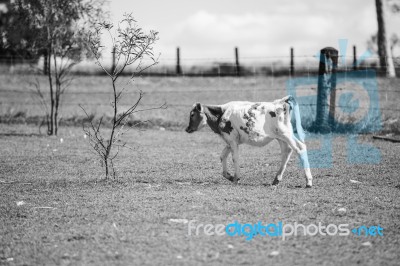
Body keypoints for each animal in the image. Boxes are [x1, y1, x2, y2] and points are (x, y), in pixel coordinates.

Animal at [186, 95, 314, 187]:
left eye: (192, 114)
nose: (187, 129)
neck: (222, 114)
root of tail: (280, 102)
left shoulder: (232, 140)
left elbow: (235, 158)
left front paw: (236, 179)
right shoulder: (231, 141)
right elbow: (223, 156)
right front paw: (229, 176)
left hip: (285, 134)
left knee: (300, 148)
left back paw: (308, 181)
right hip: (281, 137)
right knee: (287, 151)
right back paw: (276, 179)